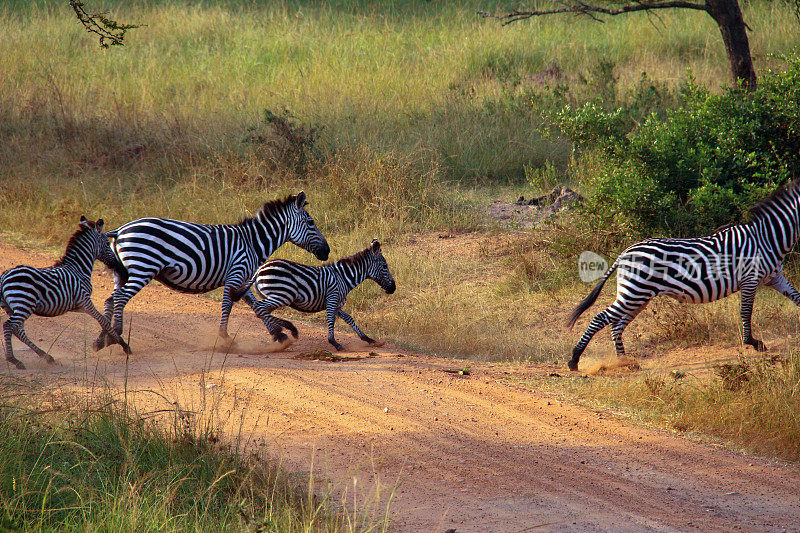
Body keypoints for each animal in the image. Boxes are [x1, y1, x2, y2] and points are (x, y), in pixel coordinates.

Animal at [0, 216, 131, 370]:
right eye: (106, 243)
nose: (117, 265)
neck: (78, 269)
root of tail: (4, 277)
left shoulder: (77, 306)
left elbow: (102, 320)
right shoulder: (85, 301)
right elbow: (103, 320)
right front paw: (123, 344)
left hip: (12, 306)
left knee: (18, 330)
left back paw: (46, 356)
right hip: (23, 303)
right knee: (9, 326)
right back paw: (14, 360)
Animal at [92, 191, 330, 350]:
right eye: (311, 222)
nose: (327, 251)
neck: (253, 242)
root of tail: (120, 230)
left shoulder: (243, 278)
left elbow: (255, 306)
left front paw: (280, 334)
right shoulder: (236, 273)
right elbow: (227, 306)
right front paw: (224, 337)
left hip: (122, 272)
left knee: (110, 299)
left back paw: (103, 339)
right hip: (143, 267)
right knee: (120, 298)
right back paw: (117, 335)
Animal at [248, 239, 396, 352]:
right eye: (384, 266)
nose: (393, 288)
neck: (343, 277)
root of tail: (260, 269)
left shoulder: (337, 303)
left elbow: (349, 319)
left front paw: (368, 339)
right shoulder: (332, 299)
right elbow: (331, 320)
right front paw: (334, 343)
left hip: (273, 295)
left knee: (261, 310)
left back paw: (282, 331)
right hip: (283, 295)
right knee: (259, 308)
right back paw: (288, 329)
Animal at [564, 181, 800, 372]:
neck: (768, 238)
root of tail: (625, 252)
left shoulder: (775, 277)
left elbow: (797, 298)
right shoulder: (751, 278)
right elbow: (746, 311)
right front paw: (752, 342)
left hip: (637, 295)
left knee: (616, 323)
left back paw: (625, 361)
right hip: (635, 292)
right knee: (601, 318)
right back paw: (575, 360)